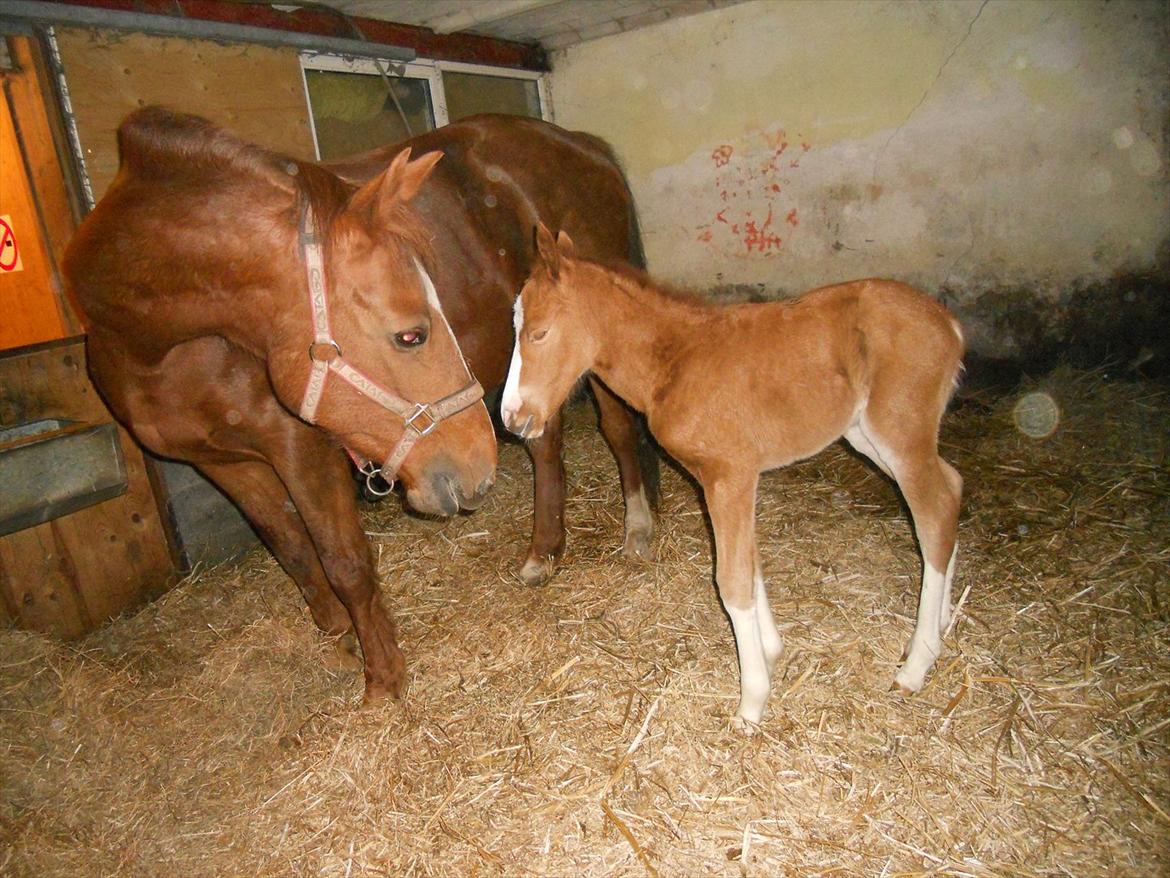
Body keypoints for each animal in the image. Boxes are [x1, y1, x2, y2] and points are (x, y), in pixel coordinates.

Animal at [498, 224, 964, 730]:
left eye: (540, 332)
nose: (511, 418)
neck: (674, 361)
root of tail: (948, 323)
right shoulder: (733, 480)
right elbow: (749, 563)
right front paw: (772, 651)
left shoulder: (728, 477)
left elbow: (732, 581)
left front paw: (752, 702)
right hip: (865, 436)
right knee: (952, 486)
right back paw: (939, 625)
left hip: (899, 433)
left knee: (933, 512)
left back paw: (917, 663)